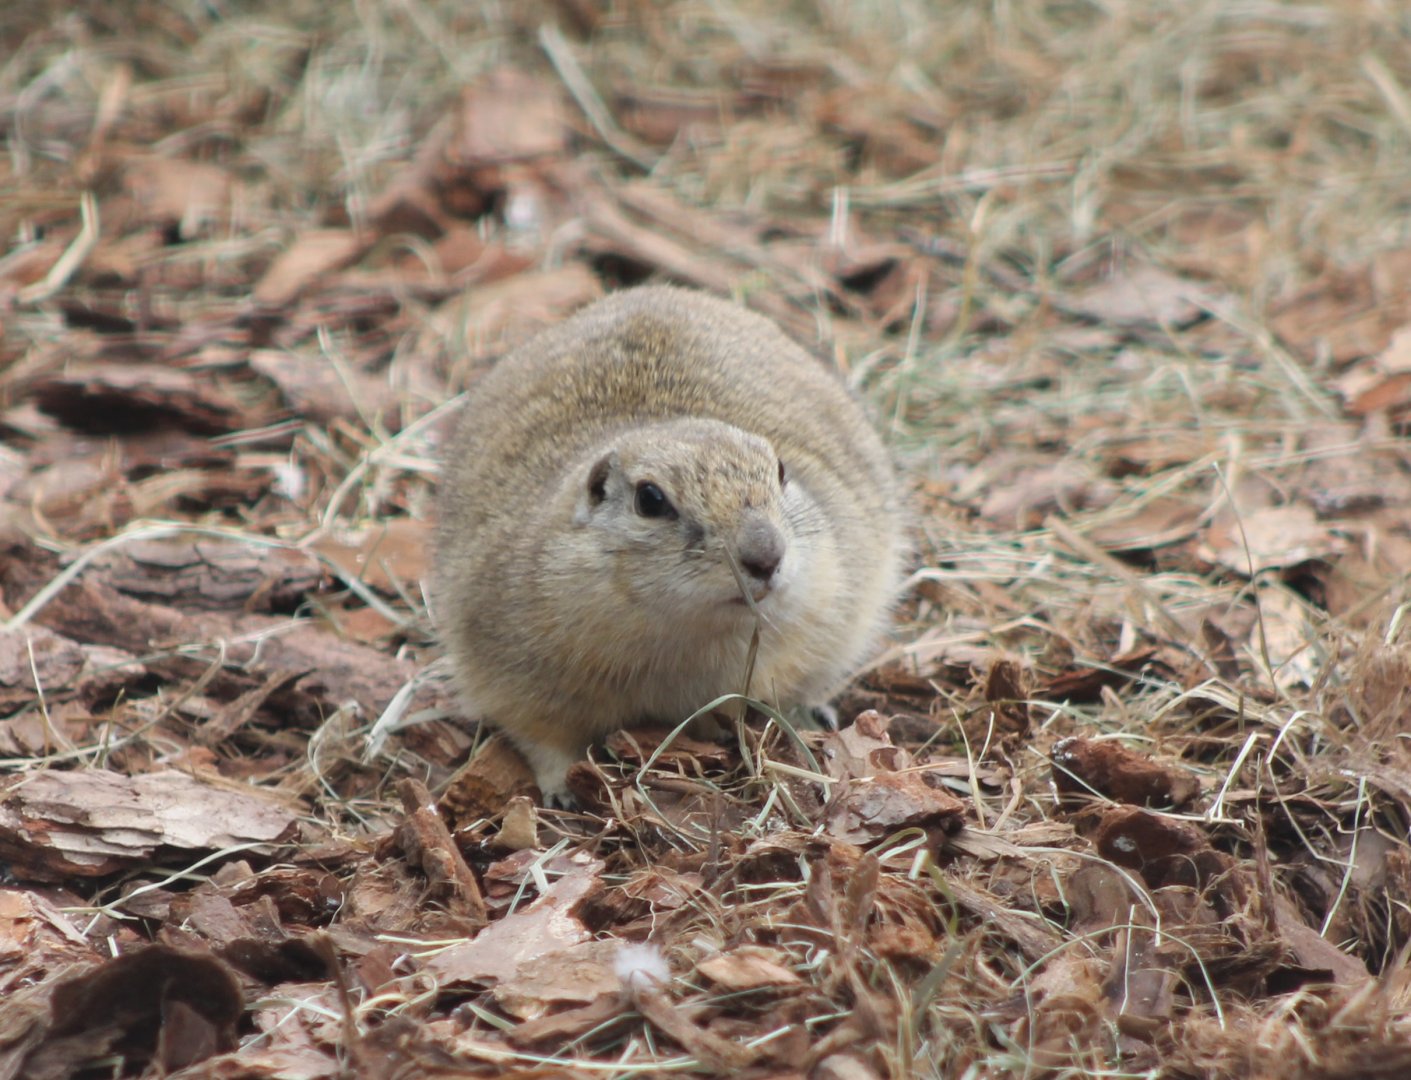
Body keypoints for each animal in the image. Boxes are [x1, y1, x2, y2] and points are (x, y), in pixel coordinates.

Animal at [433, 286, 906, 805]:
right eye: (650, 499)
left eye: (781, 471)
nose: (766, 556)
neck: (689, 637)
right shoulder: (510, 673)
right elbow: (542, 740)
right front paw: (561, 792)